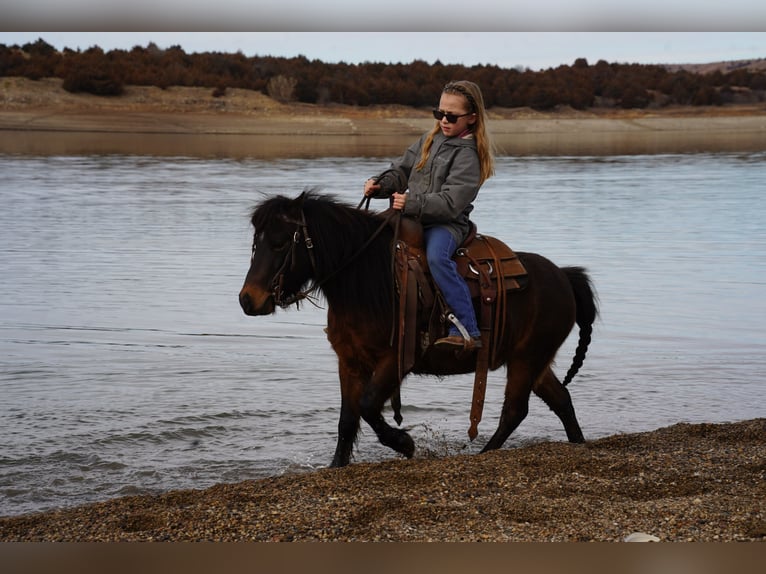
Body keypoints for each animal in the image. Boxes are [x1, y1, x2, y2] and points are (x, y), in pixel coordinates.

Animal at [239, 190, 598, 468]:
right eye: (256, 243)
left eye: (281, 243)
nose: (248, 299)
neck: (369, 281)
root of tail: (564, 276)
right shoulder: (349, 362)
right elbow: (347, 420)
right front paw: (336, 466)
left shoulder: (395, 360)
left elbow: (368, 405)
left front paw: (404, 443)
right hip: (533, 360)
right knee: (560, 399)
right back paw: (577, 443)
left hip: (527, 359)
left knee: (515, 410)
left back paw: (483, 453)